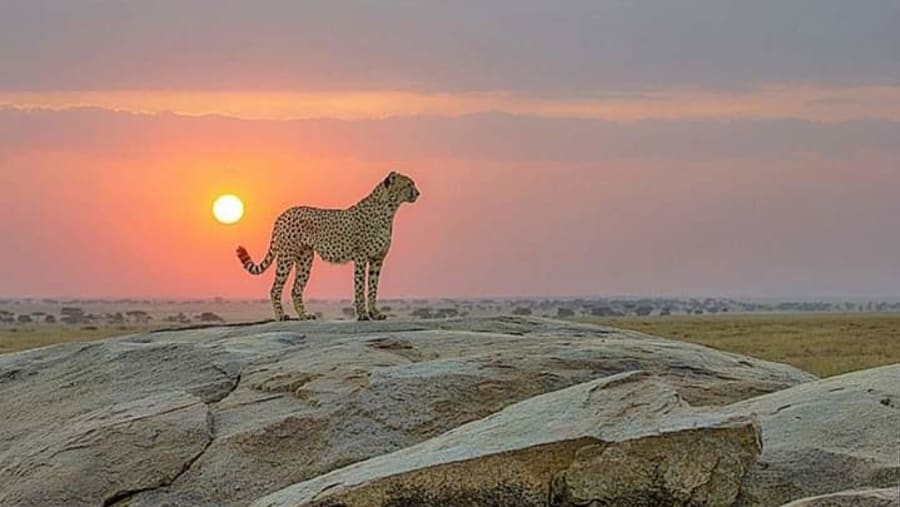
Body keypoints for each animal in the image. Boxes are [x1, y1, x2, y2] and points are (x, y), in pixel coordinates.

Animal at [236, 171, 420, 321]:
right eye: (408, 184)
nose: (418, 193)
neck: (389, 209)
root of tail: (283, 214)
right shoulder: (361, 257)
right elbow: (360, 287)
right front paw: (362, 315)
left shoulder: (377, 259)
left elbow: (373, 287)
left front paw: (375, 313)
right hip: (286, 256)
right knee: (275, 288)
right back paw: (281, 316)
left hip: (305, 259)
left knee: (296, 289)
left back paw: (304, 315)